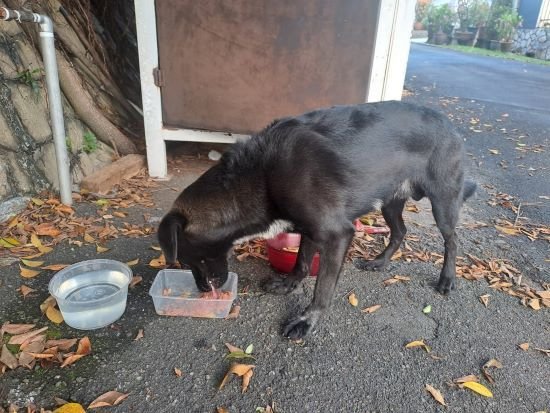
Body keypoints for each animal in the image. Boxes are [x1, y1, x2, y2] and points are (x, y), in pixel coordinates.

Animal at [157, 100, 476, 338]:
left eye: (190, 259)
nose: (202, 291)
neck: (262, 174)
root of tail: (450, 124)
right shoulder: (309, 230)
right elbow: (300, 261)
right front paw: (289, 284)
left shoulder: (337, 235)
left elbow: (322, 288)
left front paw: (307, 320)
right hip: (389, 201)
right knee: (400, 231)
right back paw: (379, 262)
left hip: (443, 203)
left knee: (452, 240)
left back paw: (447, 279)